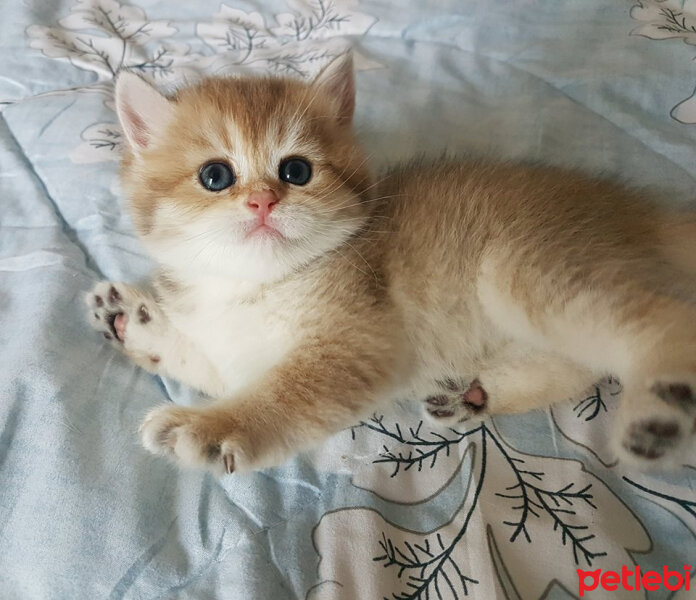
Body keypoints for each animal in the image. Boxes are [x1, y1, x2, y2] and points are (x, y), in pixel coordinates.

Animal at [85, 54, 696, 474]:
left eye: (296, 171)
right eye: (215, 175)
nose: (262, 201)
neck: (254, 286)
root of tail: (636, 208)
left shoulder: (358, 340)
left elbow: (285, 394)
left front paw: (211, 426)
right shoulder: (231, 352)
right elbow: (207, 362)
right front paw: (132, 321)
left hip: (524, 266)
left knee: (660, 319)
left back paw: (660, 409)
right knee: (582, 361)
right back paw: (474, 394)